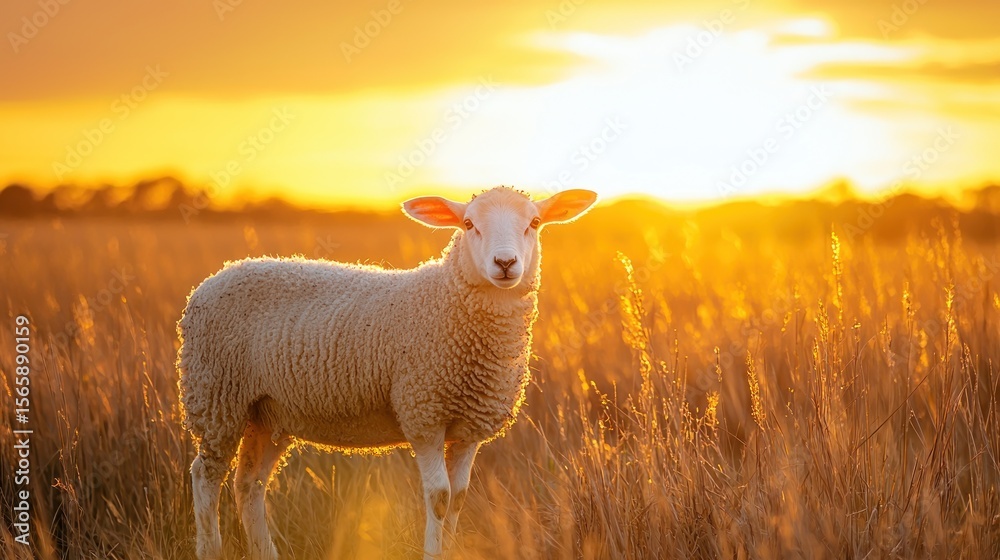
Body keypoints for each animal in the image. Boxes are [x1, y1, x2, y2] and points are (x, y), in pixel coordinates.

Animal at [177, 186, 598, 560]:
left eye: (535, 222)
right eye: (468, 224)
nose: (505, 264)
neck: (445, 303)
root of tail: (213, 278)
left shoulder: (469, 429)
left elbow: (459, 499)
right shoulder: (423, 414)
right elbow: (440, 498)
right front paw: (433, 553)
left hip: (266, 414)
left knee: (249, 485)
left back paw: (265, 552)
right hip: (216, 399)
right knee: (205, 477)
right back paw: (210, 550)